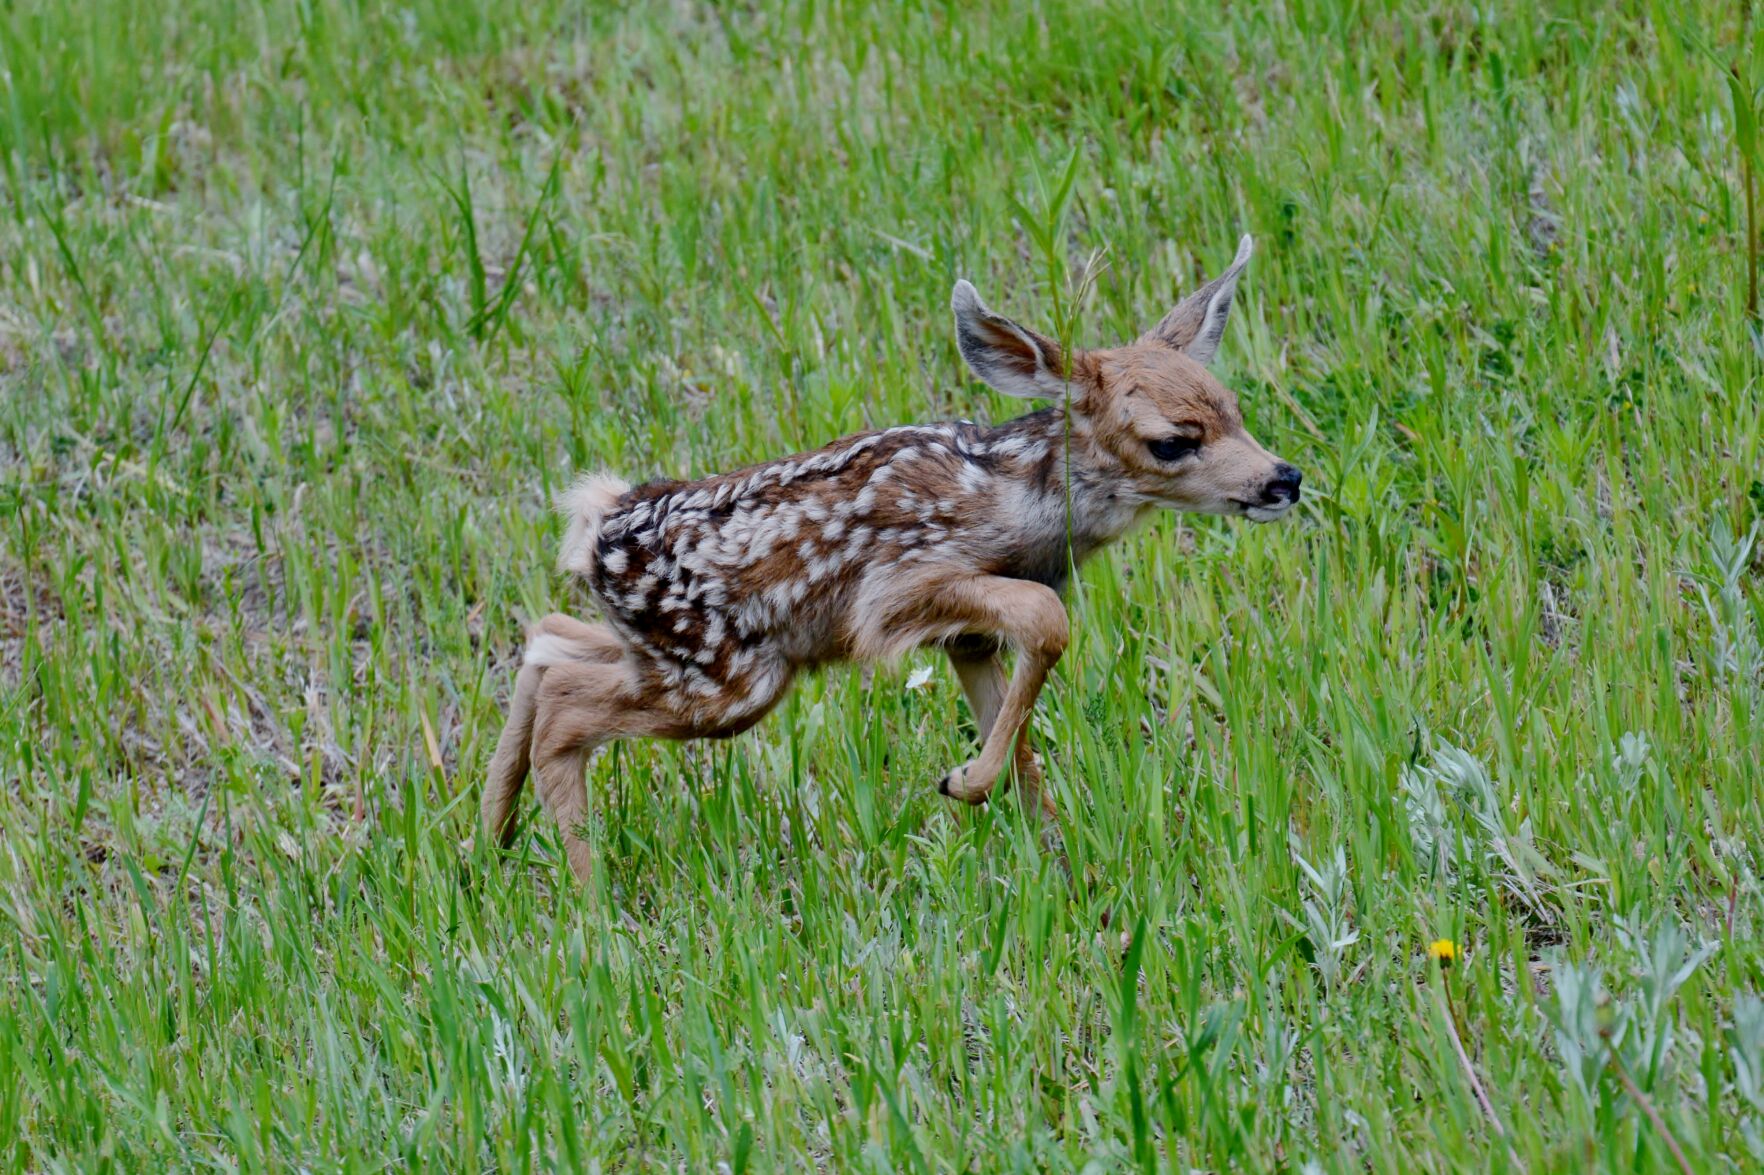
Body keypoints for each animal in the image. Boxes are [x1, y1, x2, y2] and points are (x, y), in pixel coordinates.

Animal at [483, 239, 1298, 878]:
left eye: (1235, 408)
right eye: (1173, 440)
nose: (1282, 479)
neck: (1014, 501)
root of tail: (596, 522)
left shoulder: (967, 637)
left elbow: (1020, 728)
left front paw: (1061, 861)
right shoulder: (896, 591)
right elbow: (1047, 621)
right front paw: (964, 783)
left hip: (670, 658)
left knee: (547, 641)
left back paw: (488, 842)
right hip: (728, 678)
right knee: (565, 707)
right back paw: (588, 898)